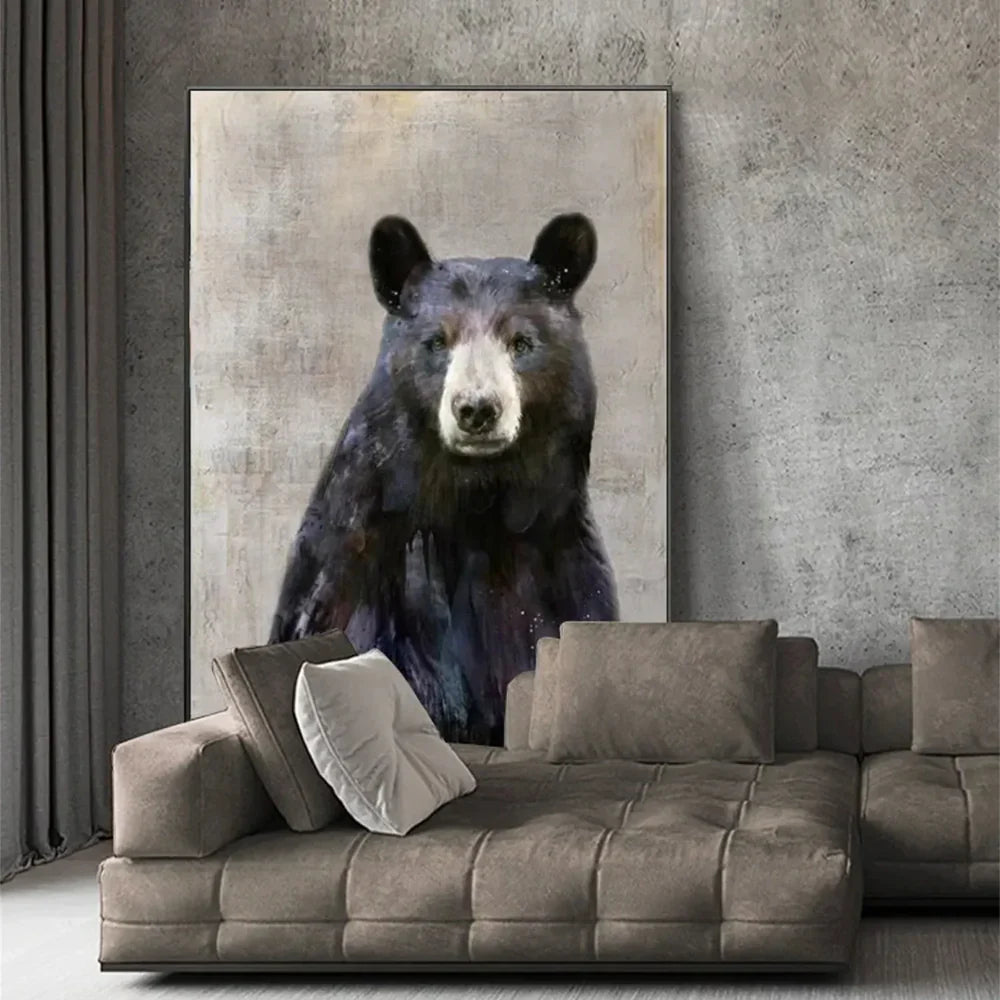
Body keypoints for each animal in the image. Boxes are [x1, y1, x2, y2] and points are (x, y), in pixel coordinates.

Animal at [269, 213, 619, 745]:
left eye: (521, 342)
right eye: (437, 341)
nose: (477, 409)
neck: (473, 503)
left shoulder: (562, 570)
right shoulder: (347, 576)